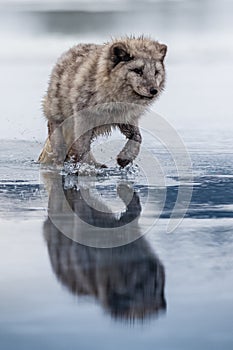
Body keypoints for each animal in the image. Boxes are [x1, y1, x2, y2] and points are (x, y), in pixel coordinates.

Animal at [38, 36, 166, 167]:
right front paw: (87, 165)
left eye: (156, 72)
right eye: (137, 70)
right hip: (58, 117)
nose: (154, 90)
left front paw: (125, 158)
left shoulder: (127, 118)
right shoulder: (83, 117)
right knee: (60, 145)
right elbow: (82, 146)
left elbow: (138, 137)